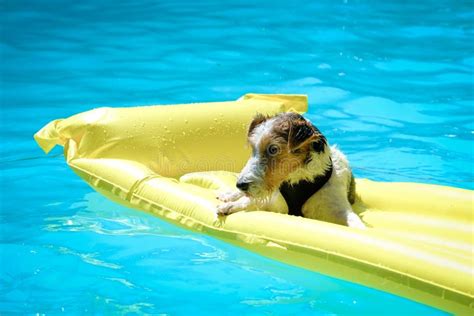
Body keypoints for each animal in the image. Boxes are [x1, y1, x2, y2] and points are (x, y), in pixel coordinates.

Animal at [217, 112, 364, 228]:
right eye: (253, 148)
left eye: (273, 149)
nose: (240, 184)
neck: (300, 178)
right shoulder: (274, 201)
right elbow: (250, 201)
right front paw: (229, 205)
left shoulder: (338, 208)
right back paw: (228, 196)